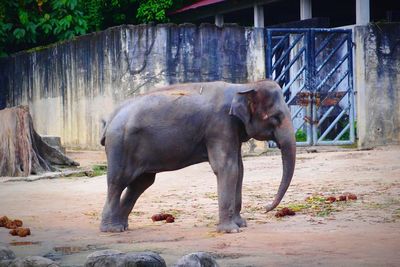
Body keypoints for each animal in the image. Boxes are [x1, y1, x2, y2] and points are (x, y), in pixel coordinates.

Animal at [98, 80, 296, 234]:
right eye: (276, 117)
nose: (265, 208)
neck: (244, 86)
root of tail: (110, 119)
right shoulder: (220, 126)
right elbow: (227, 168)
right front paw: (231, 230)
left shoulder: (231, 130)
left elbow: (239, 169)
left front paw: (241, 224)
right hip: (120, 145)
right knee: (118, 182)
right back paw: (112, 229)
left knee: (141, 183)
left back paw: (122, 226)